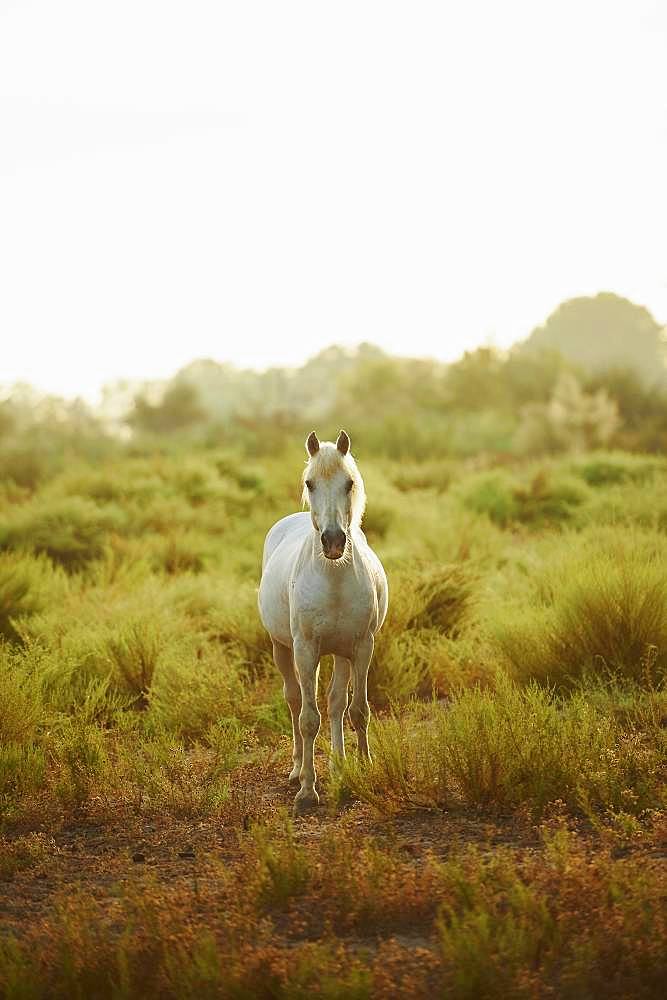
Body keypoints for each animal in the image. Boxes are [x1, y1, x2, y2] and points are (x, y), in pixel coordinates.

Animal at [258, 430, 388, 812]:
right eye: (309, 483)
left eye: (349, 483)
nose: (332, 541)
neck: (333, 579)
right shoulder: (305, 650)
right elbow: (307, 719)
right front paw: (307, 790)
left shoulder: (361, 648)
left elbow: (357, 711)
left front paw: (362, 768)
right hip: (283, 649)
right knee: (294, 700)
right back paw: (297, 769)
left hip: (340, 654)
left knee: (335, 704)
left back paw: (338, 766)